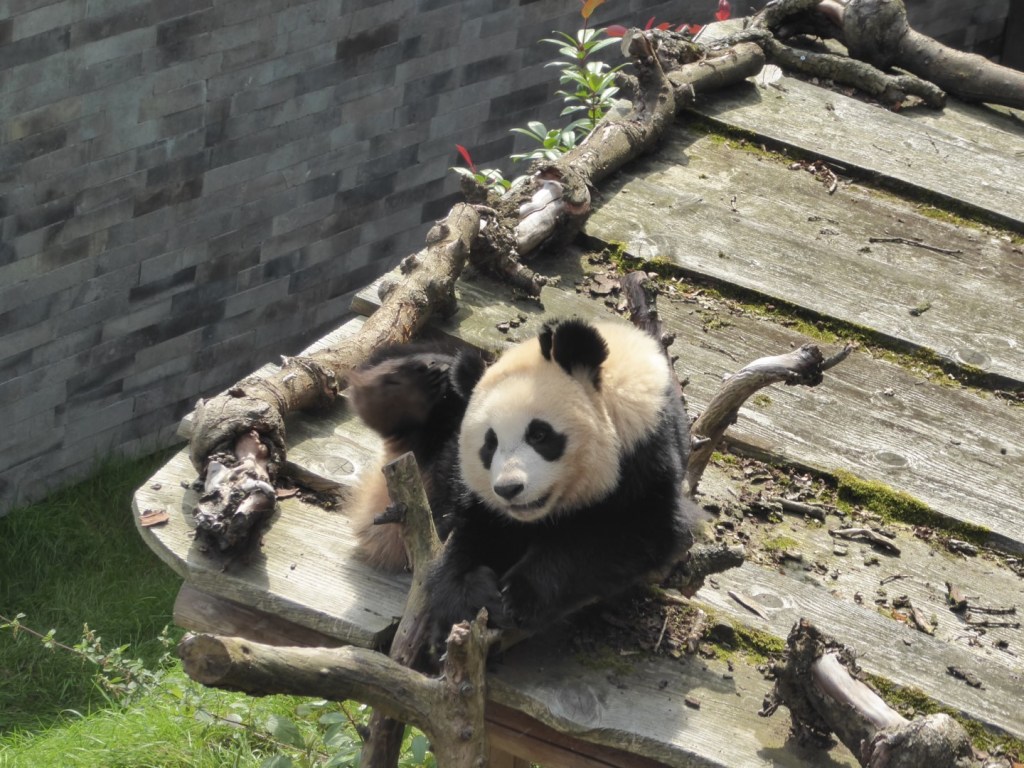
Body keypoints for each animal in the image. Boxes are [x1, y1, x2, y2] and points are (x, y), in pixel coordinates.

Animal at [347, 318, 696, 641]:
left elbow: (629, 533)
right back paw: (409, 378)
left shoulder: (645, 452)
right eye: (489, 444)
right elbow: (471, 533)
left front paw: (518, 595)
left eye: (539, 434)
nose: (509, 488)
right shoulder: (478, 497)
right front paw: (472, 594)